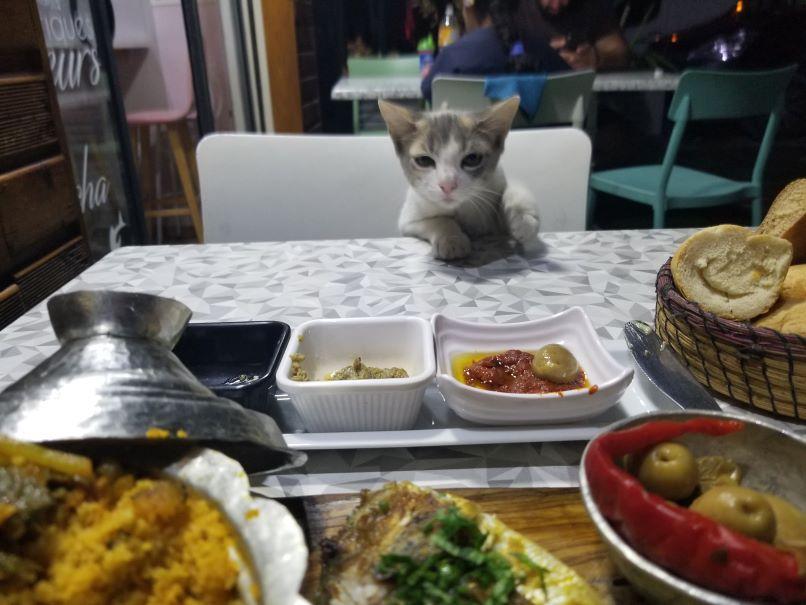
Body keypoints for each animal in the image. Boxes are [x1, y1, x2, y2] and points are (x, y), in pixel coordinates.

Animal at [378, 96, 539, 260]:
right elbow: (439, 220)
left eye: (472, 159)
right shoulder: (408, 220)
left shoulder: (496, 180)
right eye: (424, 160)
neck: (461, 208)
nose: (447, 185)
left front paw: (523, 218)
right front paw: (451, 239)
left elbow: (514, 189)